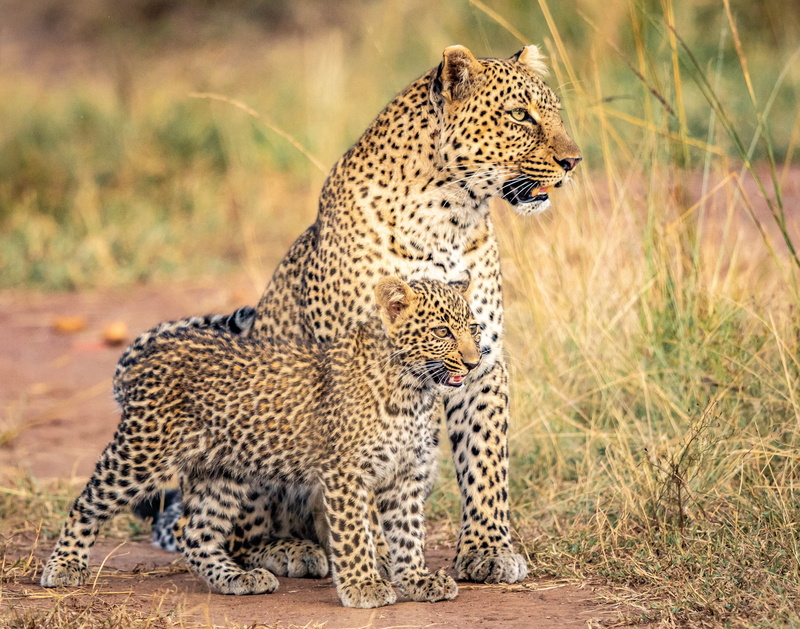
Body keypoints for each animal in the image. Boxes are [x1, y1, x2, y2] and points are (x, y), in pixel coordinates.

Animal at [41, 277, 481, 609]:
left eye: (473, 329)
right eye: (442, 331)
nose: (475, 361)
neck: (415, 392)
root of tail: (154, 350)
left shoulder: (406, 474)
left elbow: (409, 532)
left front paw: (418, 581)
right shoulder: (346, 473)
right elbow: (356, 533)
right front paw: (364, 587)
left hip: (221, 470)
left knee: (195, 531)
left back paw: (237, 579)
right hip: (142, 453)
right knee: (87, 502)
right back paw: (63, 567)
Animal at [121, 44, 582, 584]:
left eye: (555, 113)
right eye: (520, 116)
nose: (574, 161)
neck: (451, 216)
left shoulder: (483, 355)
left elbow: (486, 459)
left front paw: (486, 551)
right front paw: (376, 560)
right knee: (230, 534)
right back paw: (291, 551)